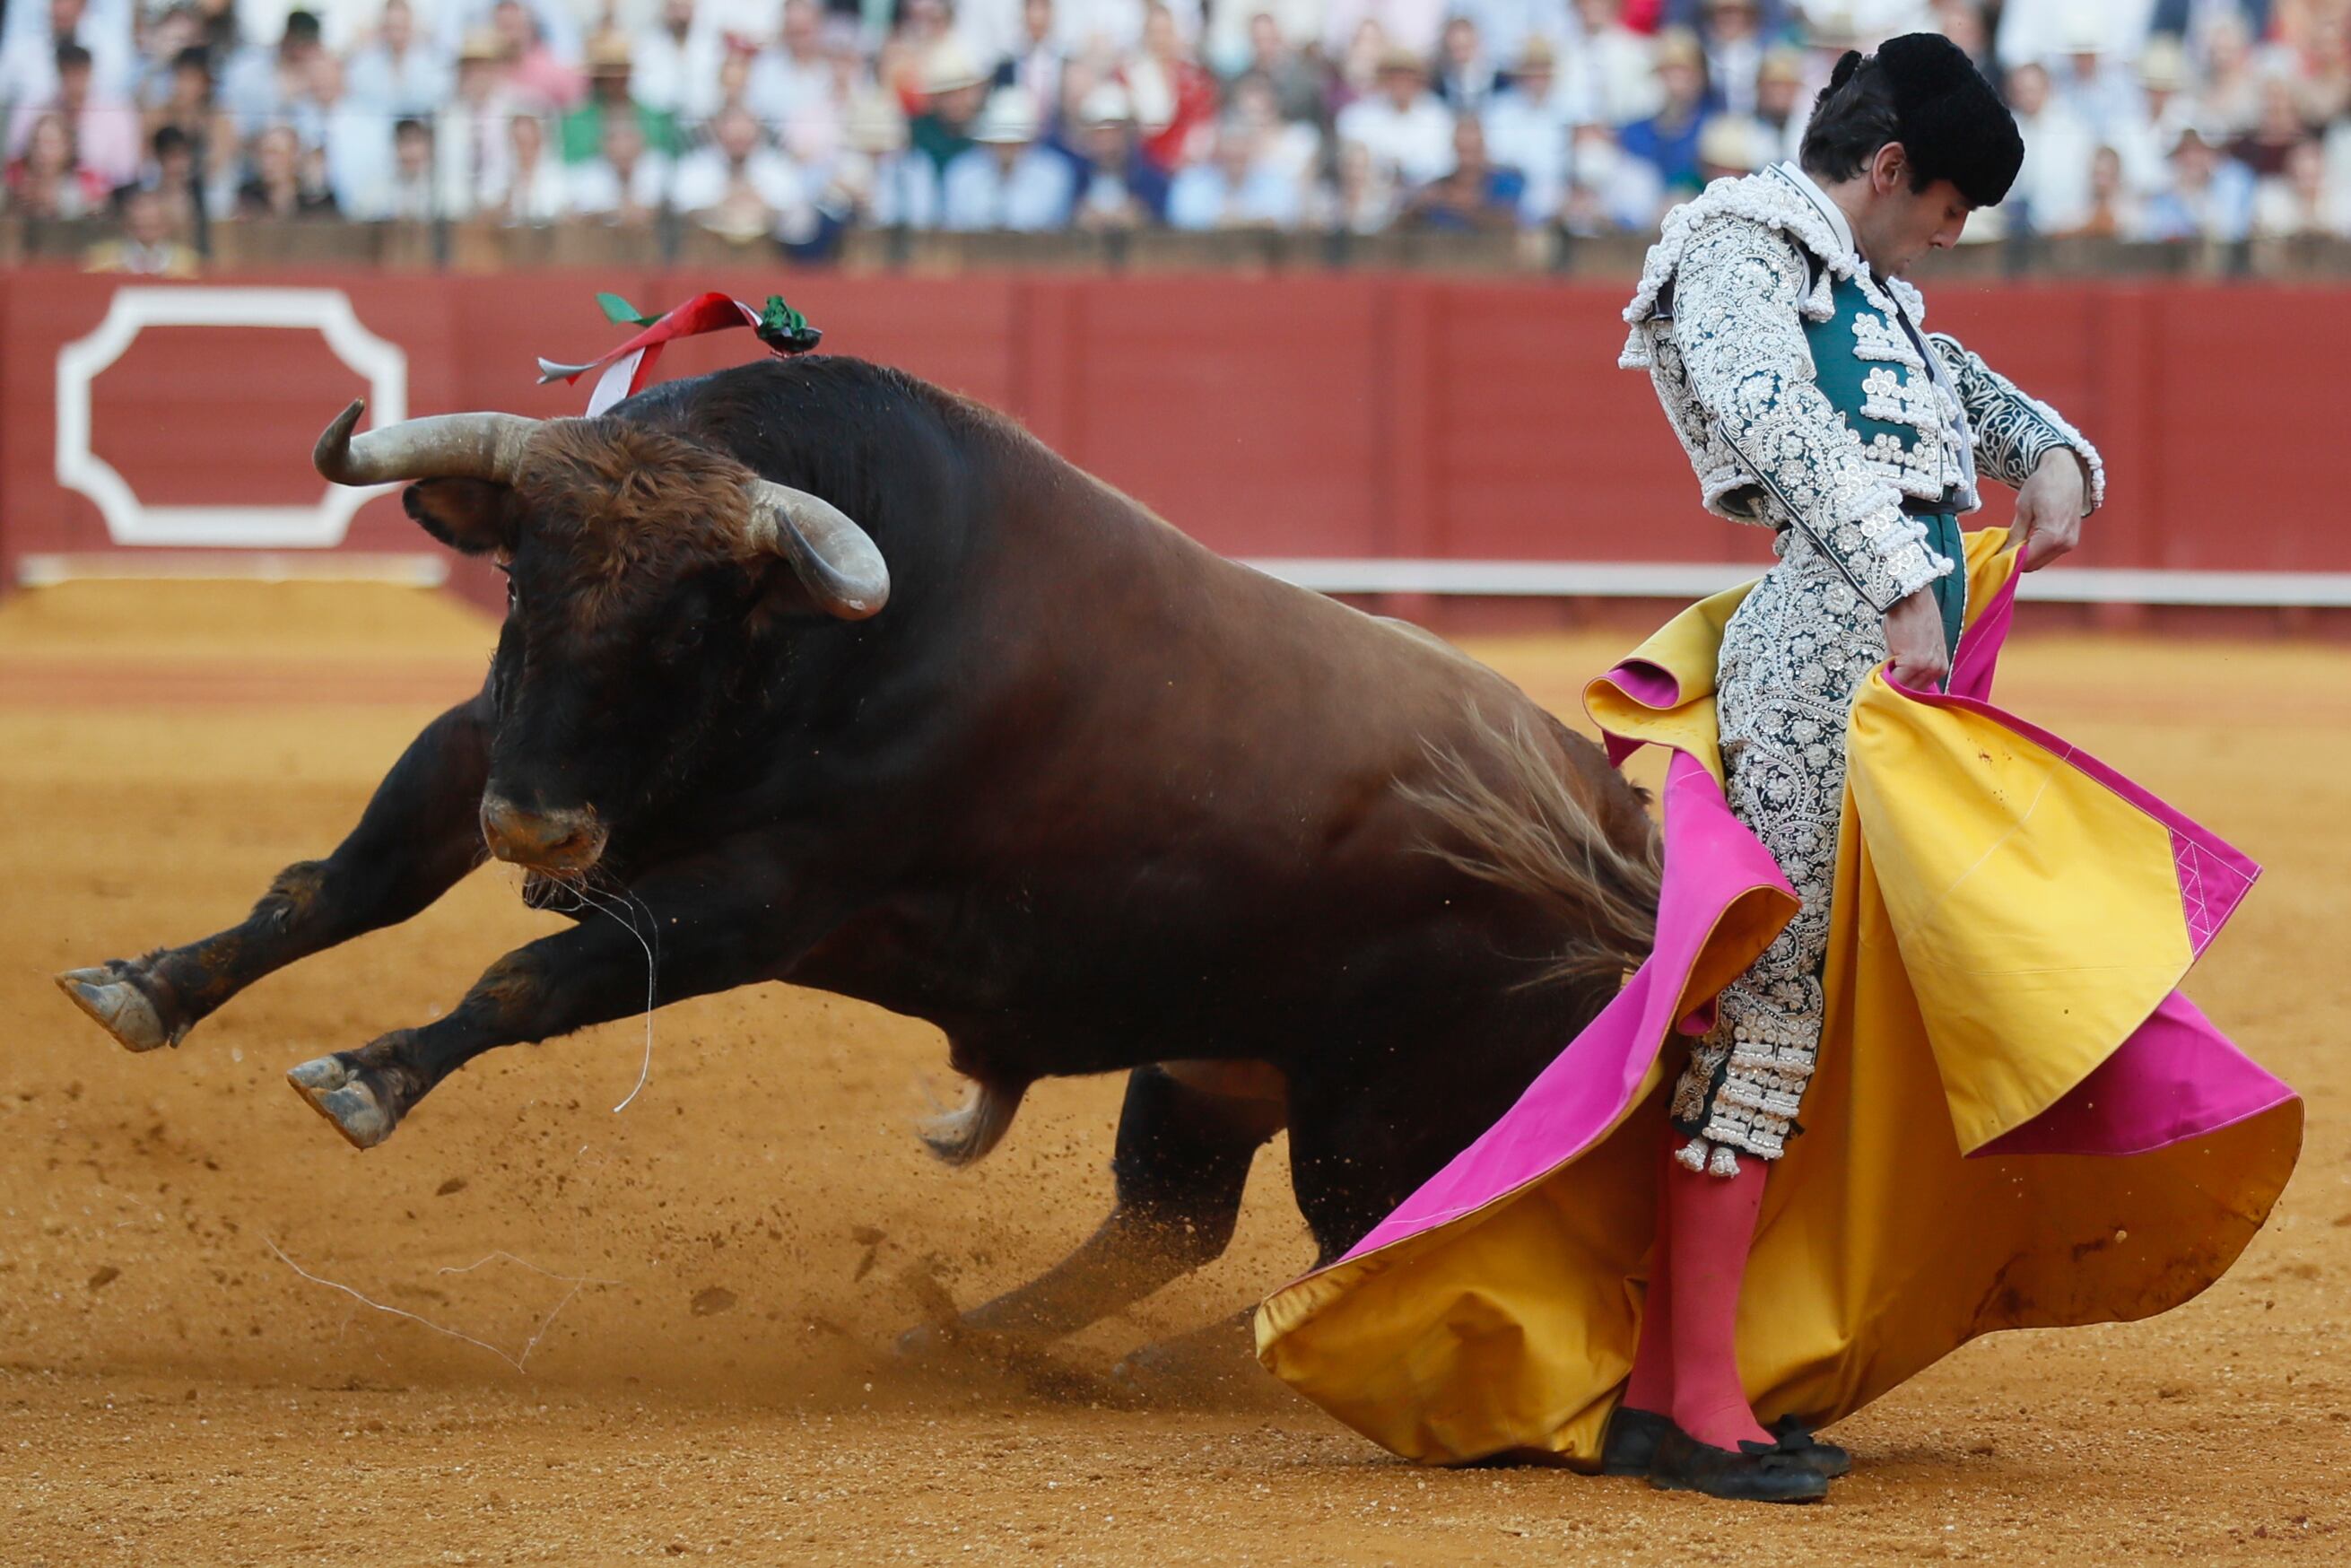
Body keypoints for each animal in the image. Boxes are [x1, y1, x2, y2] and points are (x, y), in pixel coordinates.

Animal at [50, 354, 1655, 1372]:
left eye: (691, 621)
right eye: (519, 576)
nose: (540, 836)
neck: (816, 657)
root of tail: (1633, 853)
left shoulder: (763, 902)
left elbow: (532, 977)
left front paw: (367, 1078)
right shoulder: (484, 745)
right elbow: (337, 884)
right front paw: (149, 985)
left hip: (1380, 1104)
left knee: (1381, 1243)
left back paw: (1192, 1370)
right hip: (1211, 1065)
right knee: (1168, 1225)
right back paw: (965, 1342)